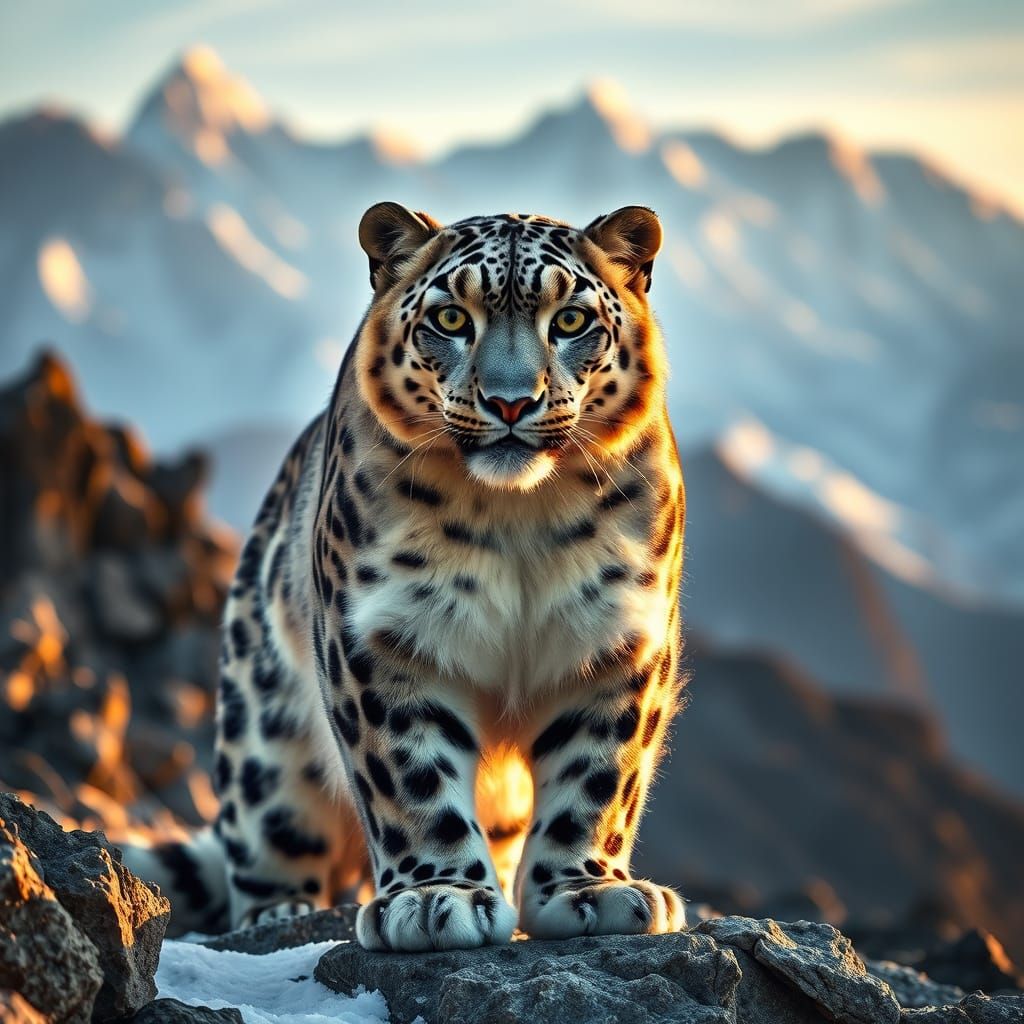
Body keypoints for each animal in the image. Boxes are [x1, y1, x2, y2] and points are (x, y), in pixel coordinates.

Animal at [124, 202, 688, 951]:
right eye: (450, 318)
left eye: (570, 320)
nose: (511, 402)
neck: (521, 517)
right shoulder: (385, 634)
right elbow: (411, 774)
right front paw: (436, 897)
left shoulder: (618, 638)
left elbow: (597, 777)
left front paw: (586, 890)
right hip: (263, 731)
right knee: (269, 835)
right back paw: (282, 913)